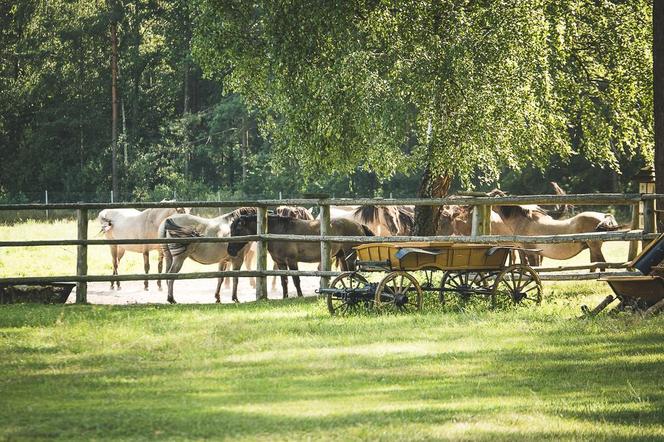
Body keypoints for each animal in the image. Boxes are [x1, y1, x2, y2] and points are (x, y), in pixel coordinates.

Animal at [227, 214, 374, 296]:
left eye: (238, 229)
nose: (230, 250)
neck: (280, 232)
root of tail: (359, 224)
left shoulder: (292, 261)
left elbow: (296, 280)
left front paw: (300, 295)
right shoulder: (280, 263)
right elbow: (284, 282)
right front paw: (285, 297)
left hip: (350, 256)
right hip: (342, 257)